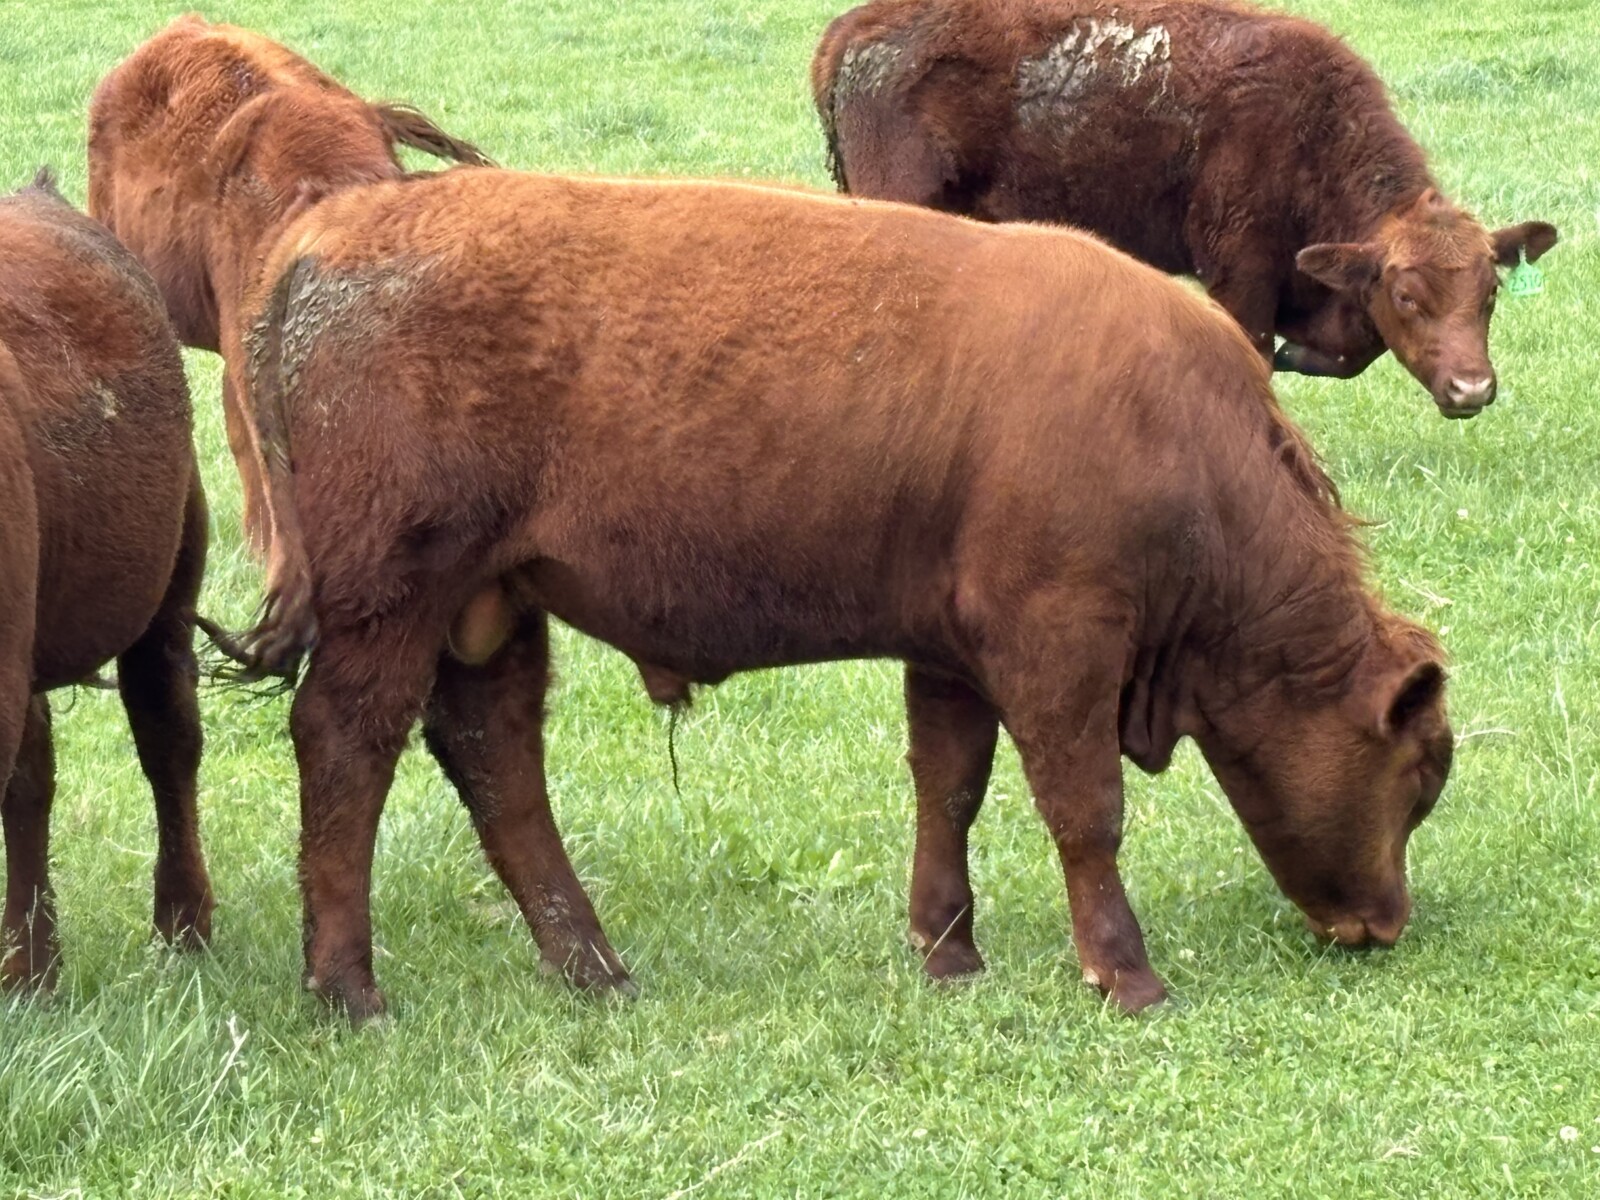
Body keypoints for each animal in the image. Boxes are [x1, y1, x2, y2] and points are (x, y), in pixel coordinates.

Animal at [198, 167, 1454, 1023]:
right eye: (1421, 776)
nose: (1381, 926)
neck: (1179, 434)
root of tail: (332, 227)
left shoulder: (953, 647)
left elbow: (949, 786)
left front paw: (947, 950)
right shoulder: (1060, 639)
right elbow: (1082, 807)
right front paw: (1124, 972)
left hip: (489, 607)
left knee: (495, 763)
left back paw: (594, 968)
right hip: (392, 596)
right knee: (348, 747)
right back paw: (348, 987)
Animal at [812, 0, 1558, 417]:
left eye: (1491, 292)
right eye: (1406, 296)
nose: (1472, 390)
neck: (1310, 127)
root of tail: (854, 28)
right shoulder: (1242, 271)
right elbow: (1255, 355)